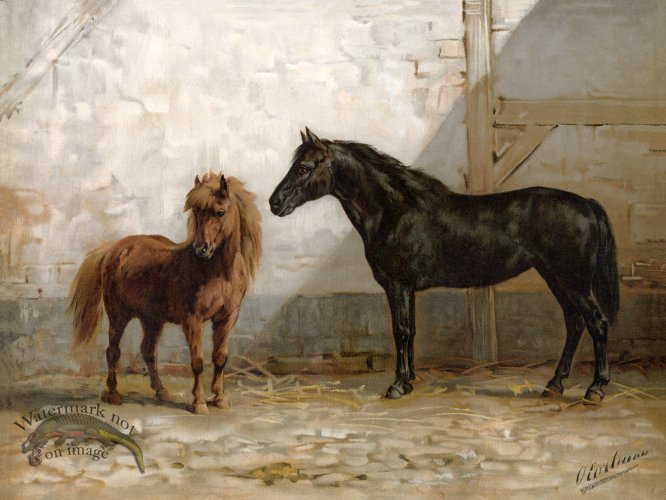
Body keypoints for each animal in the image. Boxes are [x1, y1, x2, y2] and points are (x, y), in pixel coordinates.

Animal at [69, 172, 262, 414]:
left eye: (220, 212)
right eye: (196, 212)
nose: (201, 249)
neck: (217, 273)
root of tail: (114, 249)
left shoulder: (227, 318)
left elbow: (219, 358)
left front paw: (220, 398)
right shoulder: (193, 320)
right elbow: (197, 362)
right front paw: (199, 402)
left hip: (152, 319)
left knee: (148, 352)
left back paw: (161, 391)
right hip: (118, 315)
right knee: (113, 351)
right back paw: (113, 394)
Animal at [269, 128, 619, 402]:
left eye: (304, 168)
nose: (274, 203)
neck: (395, 211)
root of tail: (587, 204)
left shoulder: (397, 285)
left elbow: (400, 331)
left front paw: (397, 386)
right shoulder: (407, 288)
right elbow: (411, 331)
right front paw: (409, 381)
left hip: (573, 280)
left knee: (597, 322)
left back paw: (595, 389)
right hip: (554, 278)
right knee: (574, 323)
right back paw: (554, 384)